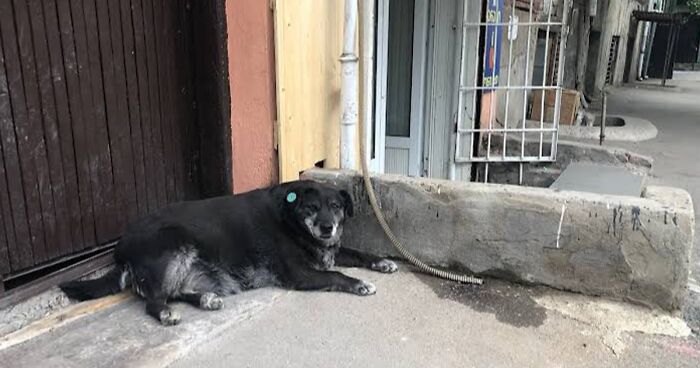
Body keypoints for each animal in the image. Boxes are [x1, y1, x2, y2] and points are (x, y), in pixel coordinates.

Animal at [58, 180, 400, 326]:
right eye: (312, 208)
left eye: (337, 206)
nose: (327, 228)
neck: (292, 221)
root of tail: (120, 247)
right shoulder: (301, 274)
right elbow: (338, 274)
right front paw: (360, 284)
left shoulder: (327, 251)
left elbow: (358, 253)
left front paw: (382, 262)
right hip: (172, 247)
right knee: (154, 300)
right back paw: (166, 313)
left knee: (177, 291)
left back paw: (206, 300)